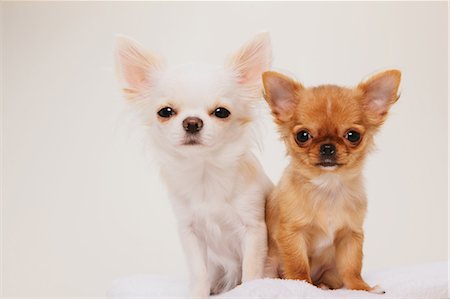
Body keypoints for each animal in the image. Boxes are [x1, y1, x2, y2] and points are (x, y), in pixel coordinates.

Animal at [114, 33, 272, 298]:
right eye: (165, 112)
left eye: (221, 112)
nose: (192, 122)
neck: (205, 173)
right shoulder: (190, 232)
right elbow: (199, 272)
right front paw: (198, 293)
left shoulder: (253, 229)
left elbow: (251, 270)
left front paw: (251, 290)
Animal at [264, 69, 400, 294]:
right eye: (303, 136)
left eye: (352, 136)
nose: (327, 147)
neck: (328, 185)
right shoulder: (291, 233)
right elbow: (298, 264)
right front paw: (301, 285)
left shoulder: (351, 236)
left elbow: (352, 267)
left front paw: (363, 288)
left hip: (332, 271)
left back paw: (323, 286)